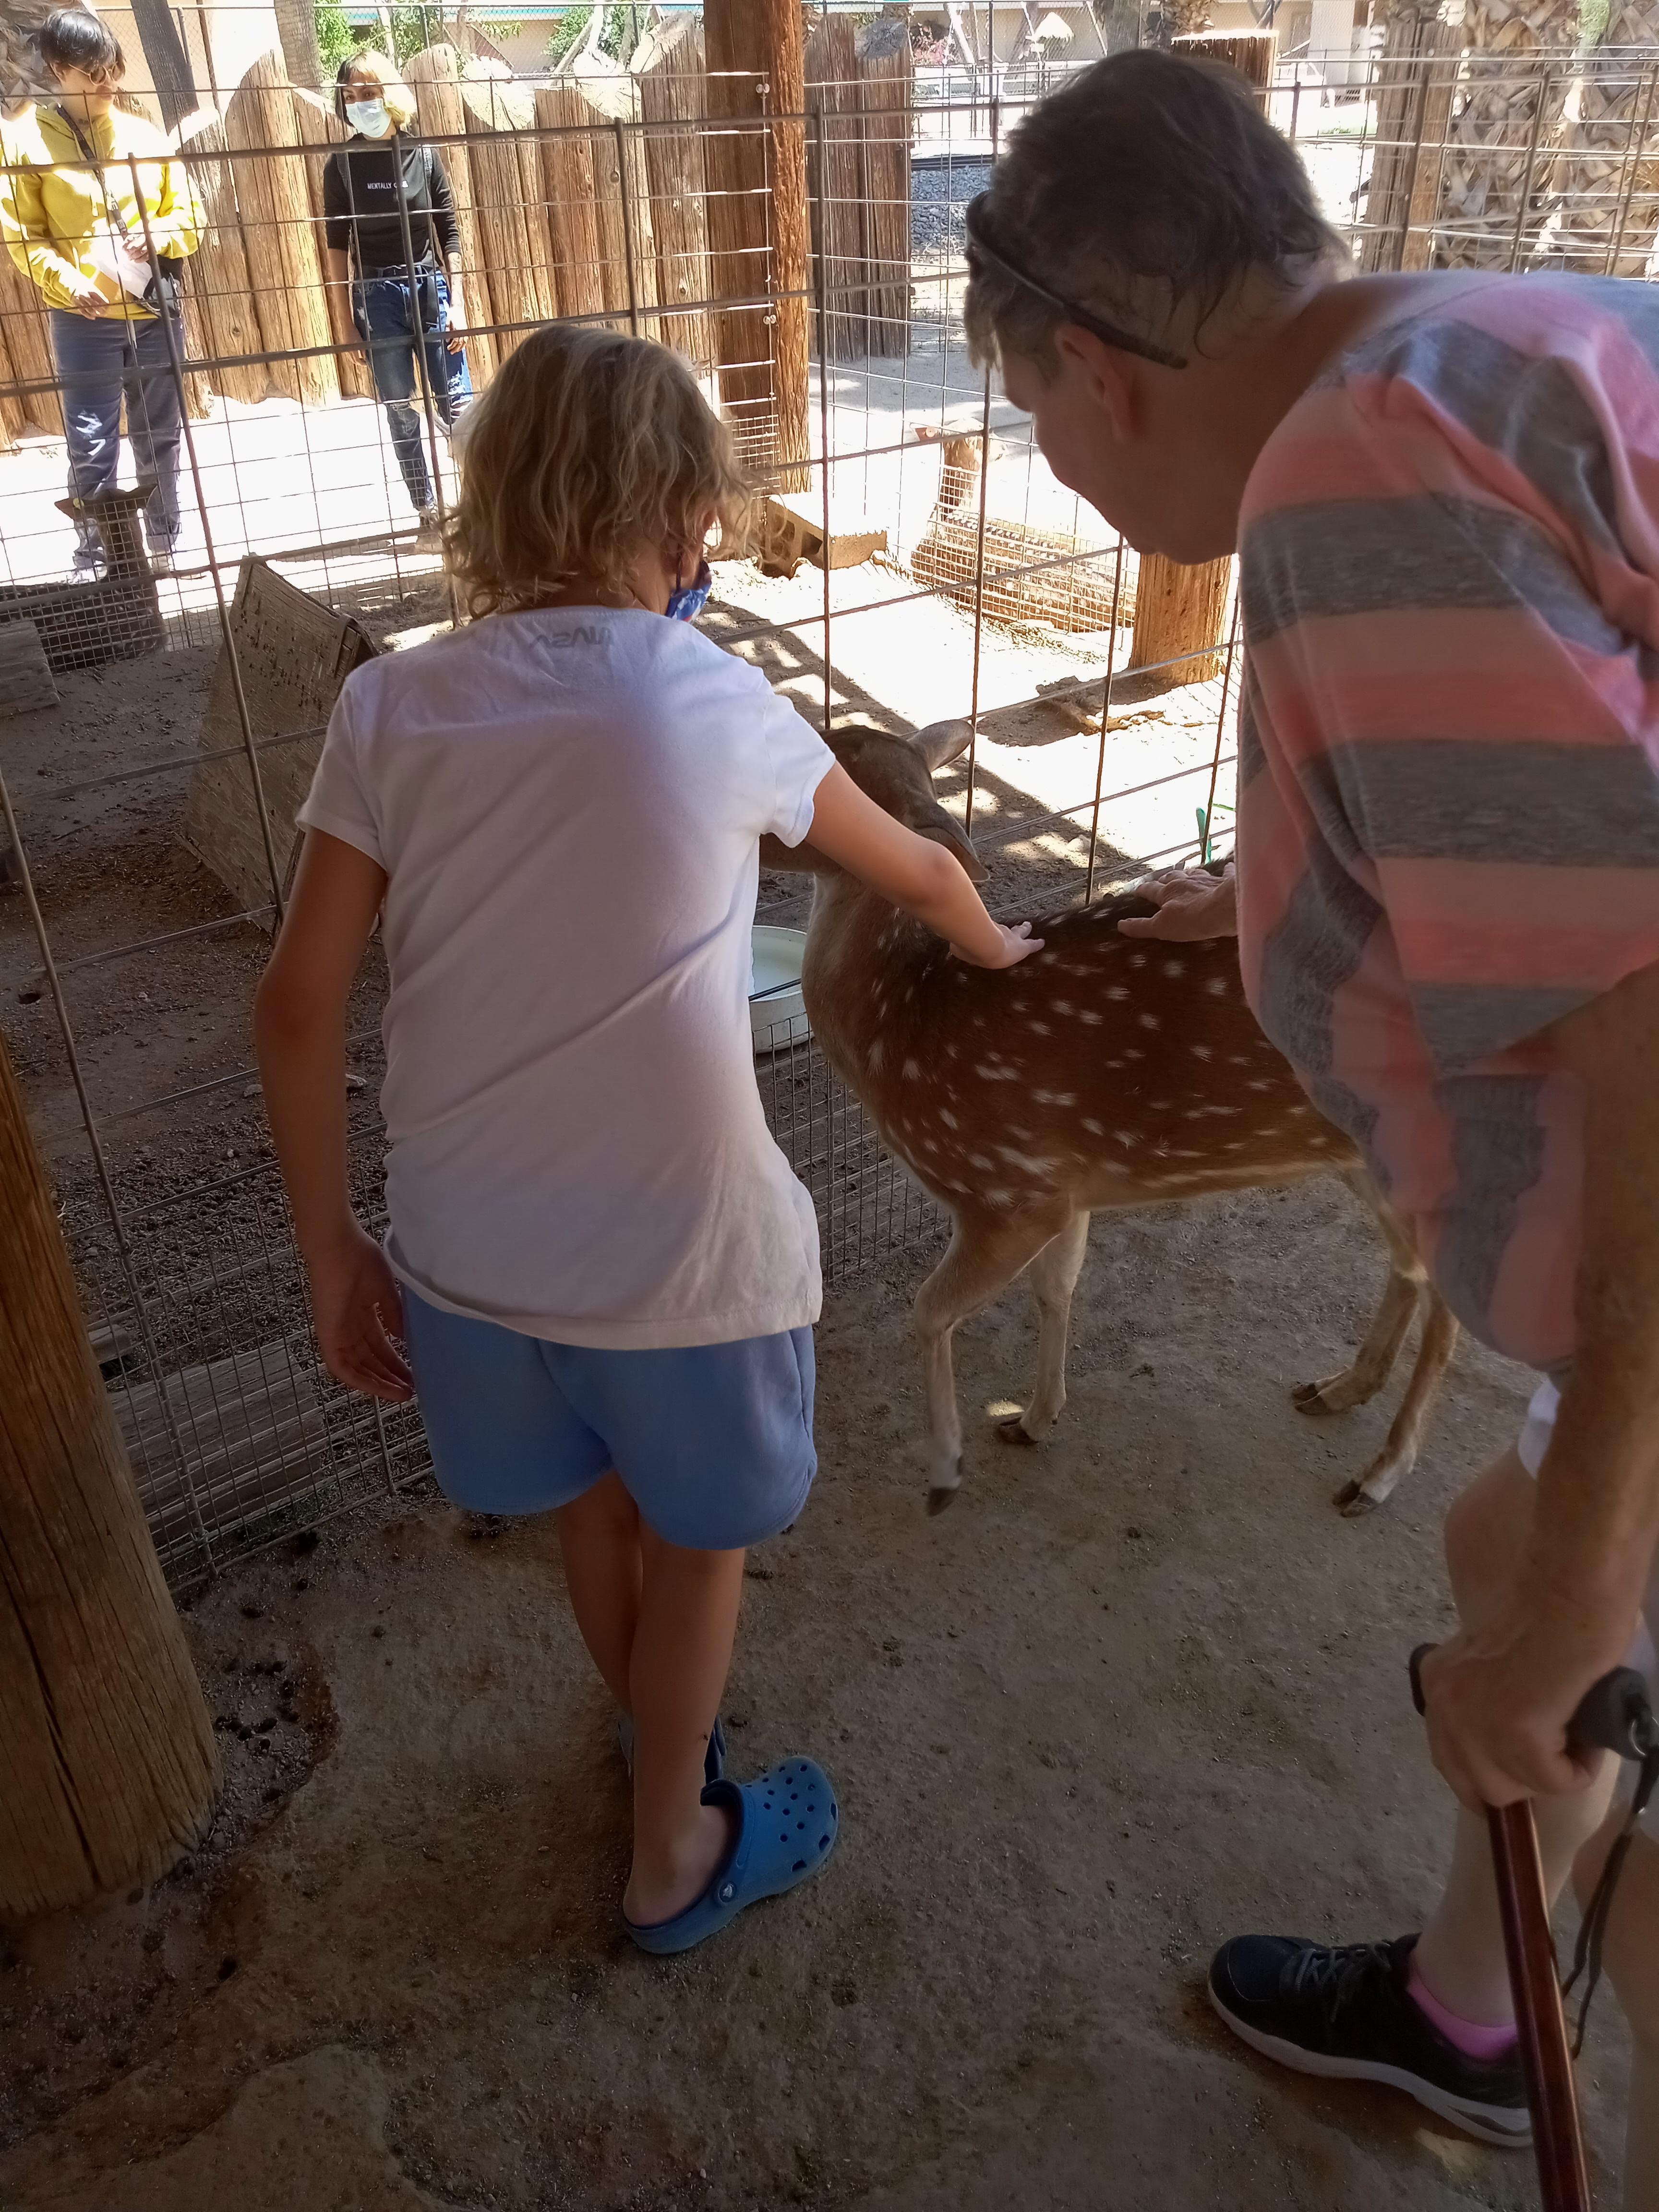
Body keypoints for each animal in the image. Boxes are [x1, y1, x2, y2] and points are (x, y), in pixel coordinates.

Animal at [764, 718, 1459, 1519]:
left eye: (821, 769)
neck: (902, 1028)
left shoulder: (1007, 1187)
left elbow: (929, 1310)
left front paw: (945, 1470)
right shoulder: (1067, 1185)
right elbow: (1057, 1289)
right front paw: (1033, 1419)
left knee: (1451, 1302)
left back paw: (1378, 1474)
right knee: (1413, 1270)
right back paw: (1339, 1389)